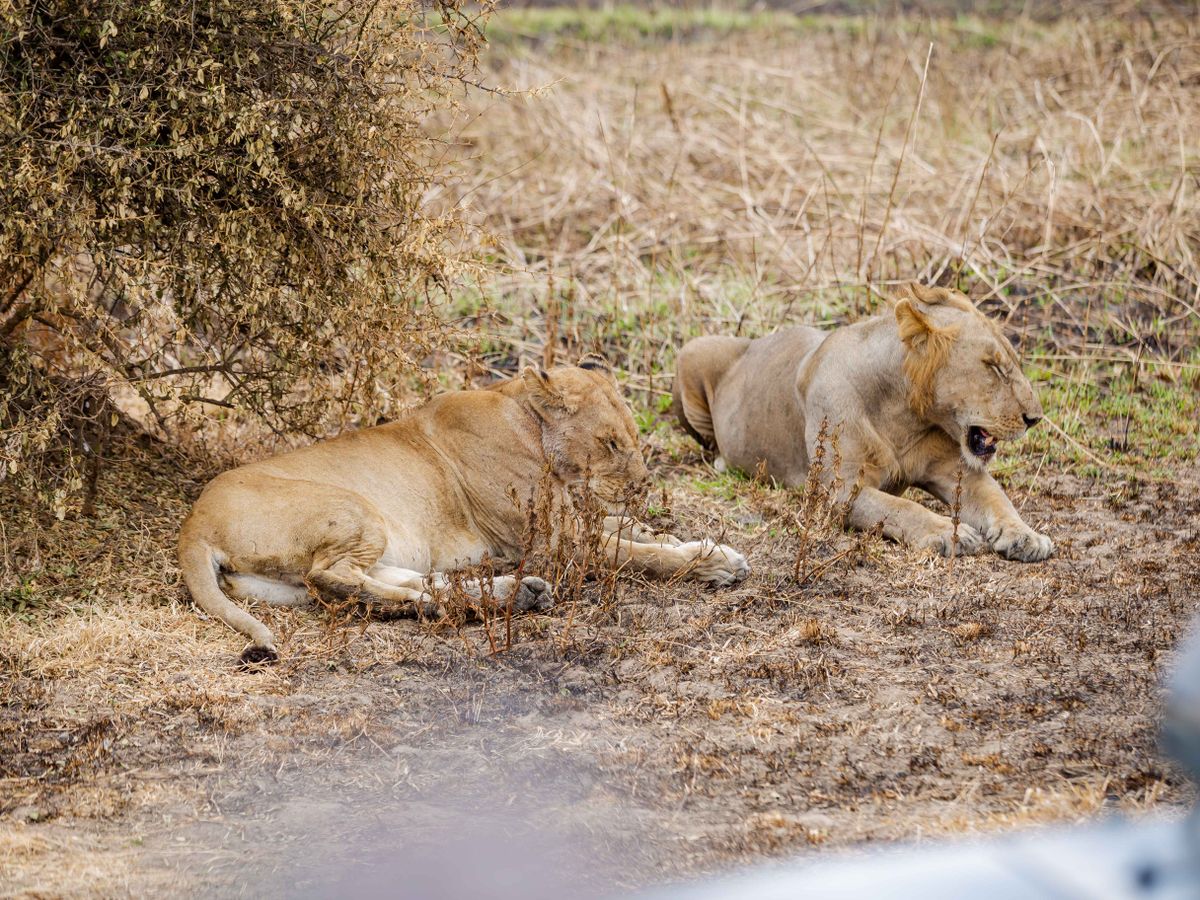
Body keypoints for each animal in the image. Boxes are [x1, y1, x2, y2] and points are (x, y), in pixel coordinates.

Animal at [180, 355, 749, 664]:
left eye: (632, 434)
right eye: (610, 443)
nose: (642, 486)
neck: (523, 418)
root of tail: (194, 524)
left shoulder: (569, 521)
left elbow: (633, 533)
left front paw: (689, 540)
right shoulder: (554, 542)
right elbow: (635, 552)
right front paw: (714, 563)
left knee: (388, 584)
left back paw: (510, 593)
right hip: (354, 507)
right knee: (333, 579)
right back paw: (488, 601)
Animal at [672, 283, 1053, 562]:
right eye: (993, 367)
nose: (1035, 418)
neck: (905, 416)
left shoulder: (959, 472)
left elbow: (997, 499)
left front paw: (1027, 536)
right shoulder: (835, 492)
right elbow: (901, 506)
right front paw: (947, 532)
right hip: (692, 350)